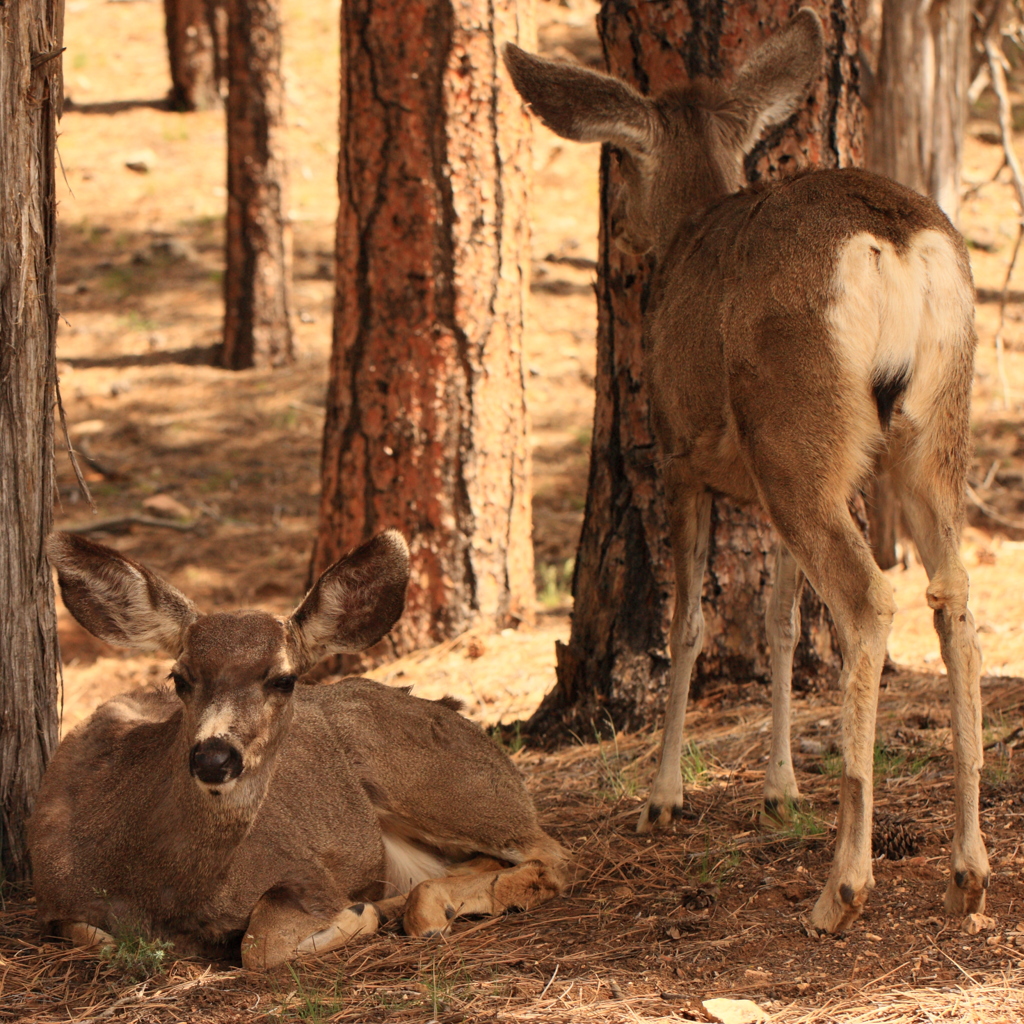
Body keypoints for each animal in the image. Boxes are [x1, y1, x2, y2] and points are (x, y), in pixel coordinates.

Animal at [29, 532, 569, 970]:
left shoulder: (305, 870)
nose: (214, 758)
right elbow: (93, 936)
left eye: (284, 680)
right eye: (179, 677)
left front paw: (357, 914)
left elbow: (259, 947)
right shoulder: (54, 903)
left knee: (553, 853)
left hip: (440, 784)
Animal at [503, 9, 983, 937]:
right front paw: (777, 789)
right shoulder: (770, 482)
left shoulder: (679, 455)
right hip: (914, 432)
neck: (690, 227)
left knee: (869, 600)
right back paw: (967, 869)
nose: (620, 231)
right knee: (954, 593)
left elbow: (688, 623)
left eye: (620, 162)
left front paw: (663, 795)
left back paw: (843, 886)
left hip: (795, 419)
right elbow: (780, 621)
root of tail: (896, 246)